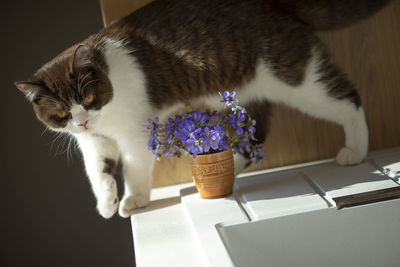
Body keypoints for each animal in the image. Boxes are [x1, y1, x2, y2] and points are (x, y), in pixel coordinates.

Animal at [14, 0, 390, 218]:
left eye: (88, 99)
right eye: (61, 114)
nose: (83, 121)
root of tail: (271, 3)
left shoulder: (134, 134)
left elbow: (134, 168)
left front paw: (134, 199)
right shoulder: (92, 143)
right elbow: (99, 173)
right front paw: (106, 203)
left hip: (297, 79)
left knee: (346, 98)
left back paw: (355, 150)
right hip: (240, 96)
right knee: (254, 137)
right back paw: (226, 168)